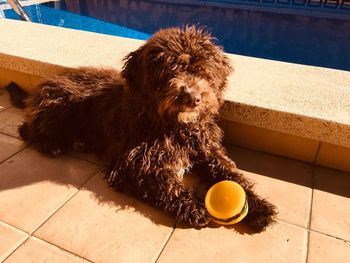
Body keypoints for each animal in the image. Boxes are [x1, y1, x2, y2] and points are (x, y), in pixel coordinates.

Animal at [7, 25, 276, 232]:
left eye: (201, 69)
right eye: (169, 70)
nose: (192, 98)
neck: (172, 126)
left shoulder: (206, 149)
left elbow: (230, 173)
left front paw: (259, 207)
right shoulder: (131, 164)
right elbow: (163, 182)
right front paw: (192, 207)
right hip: (61, 108)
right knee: (26, 129)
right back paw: (51, 144)